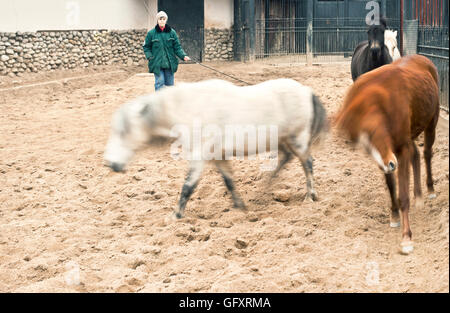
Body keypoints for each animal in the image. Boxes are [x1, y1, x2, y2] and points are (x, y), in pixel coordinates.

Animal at [104, 78, 328, 217]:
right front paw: (240, 207)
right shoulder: (218, 157)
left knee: (307, 163)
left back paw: (310, 196)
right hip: (283, 140)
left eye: (124, 131)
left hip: (297, 139)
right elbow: (229, 182)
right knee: (286, 159)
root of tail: (306, 91)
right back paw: (266, 186)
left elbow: (188, 186)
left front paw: (176, 216)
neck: (189, 108)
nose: (110, 164)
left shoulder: (199, 157)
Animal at [338, 53, 440, 254]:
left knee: (426, 153)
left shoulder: (400, 149)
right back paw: (418, 196)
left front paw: (406, 238)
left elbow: (403, 195)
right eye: (364, 144)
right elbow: (391, 186)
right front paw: (394, 215)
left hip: (431, 122)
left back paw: (430, 189)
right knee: (416, 154)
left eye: (376, 133)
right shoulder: (387, 155)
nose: (390, 164)